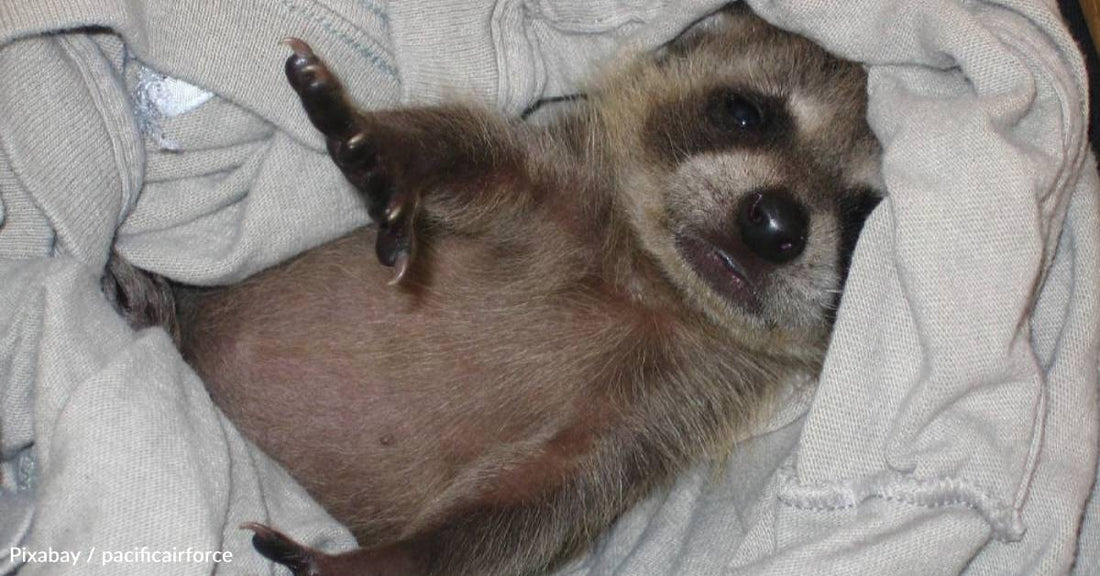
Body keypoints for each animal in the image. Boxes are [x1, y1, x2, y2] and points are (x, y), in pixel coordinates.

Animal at [166, 4, 883, 575]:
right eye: (743, 112)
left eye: (863, 219)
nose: (775, 224)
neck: (653, 282)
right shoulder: (563, 184)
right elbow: (475, 153)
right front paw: (399, 148)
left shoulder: (672, 403)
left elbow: (543, 501)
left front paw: (386, 560)